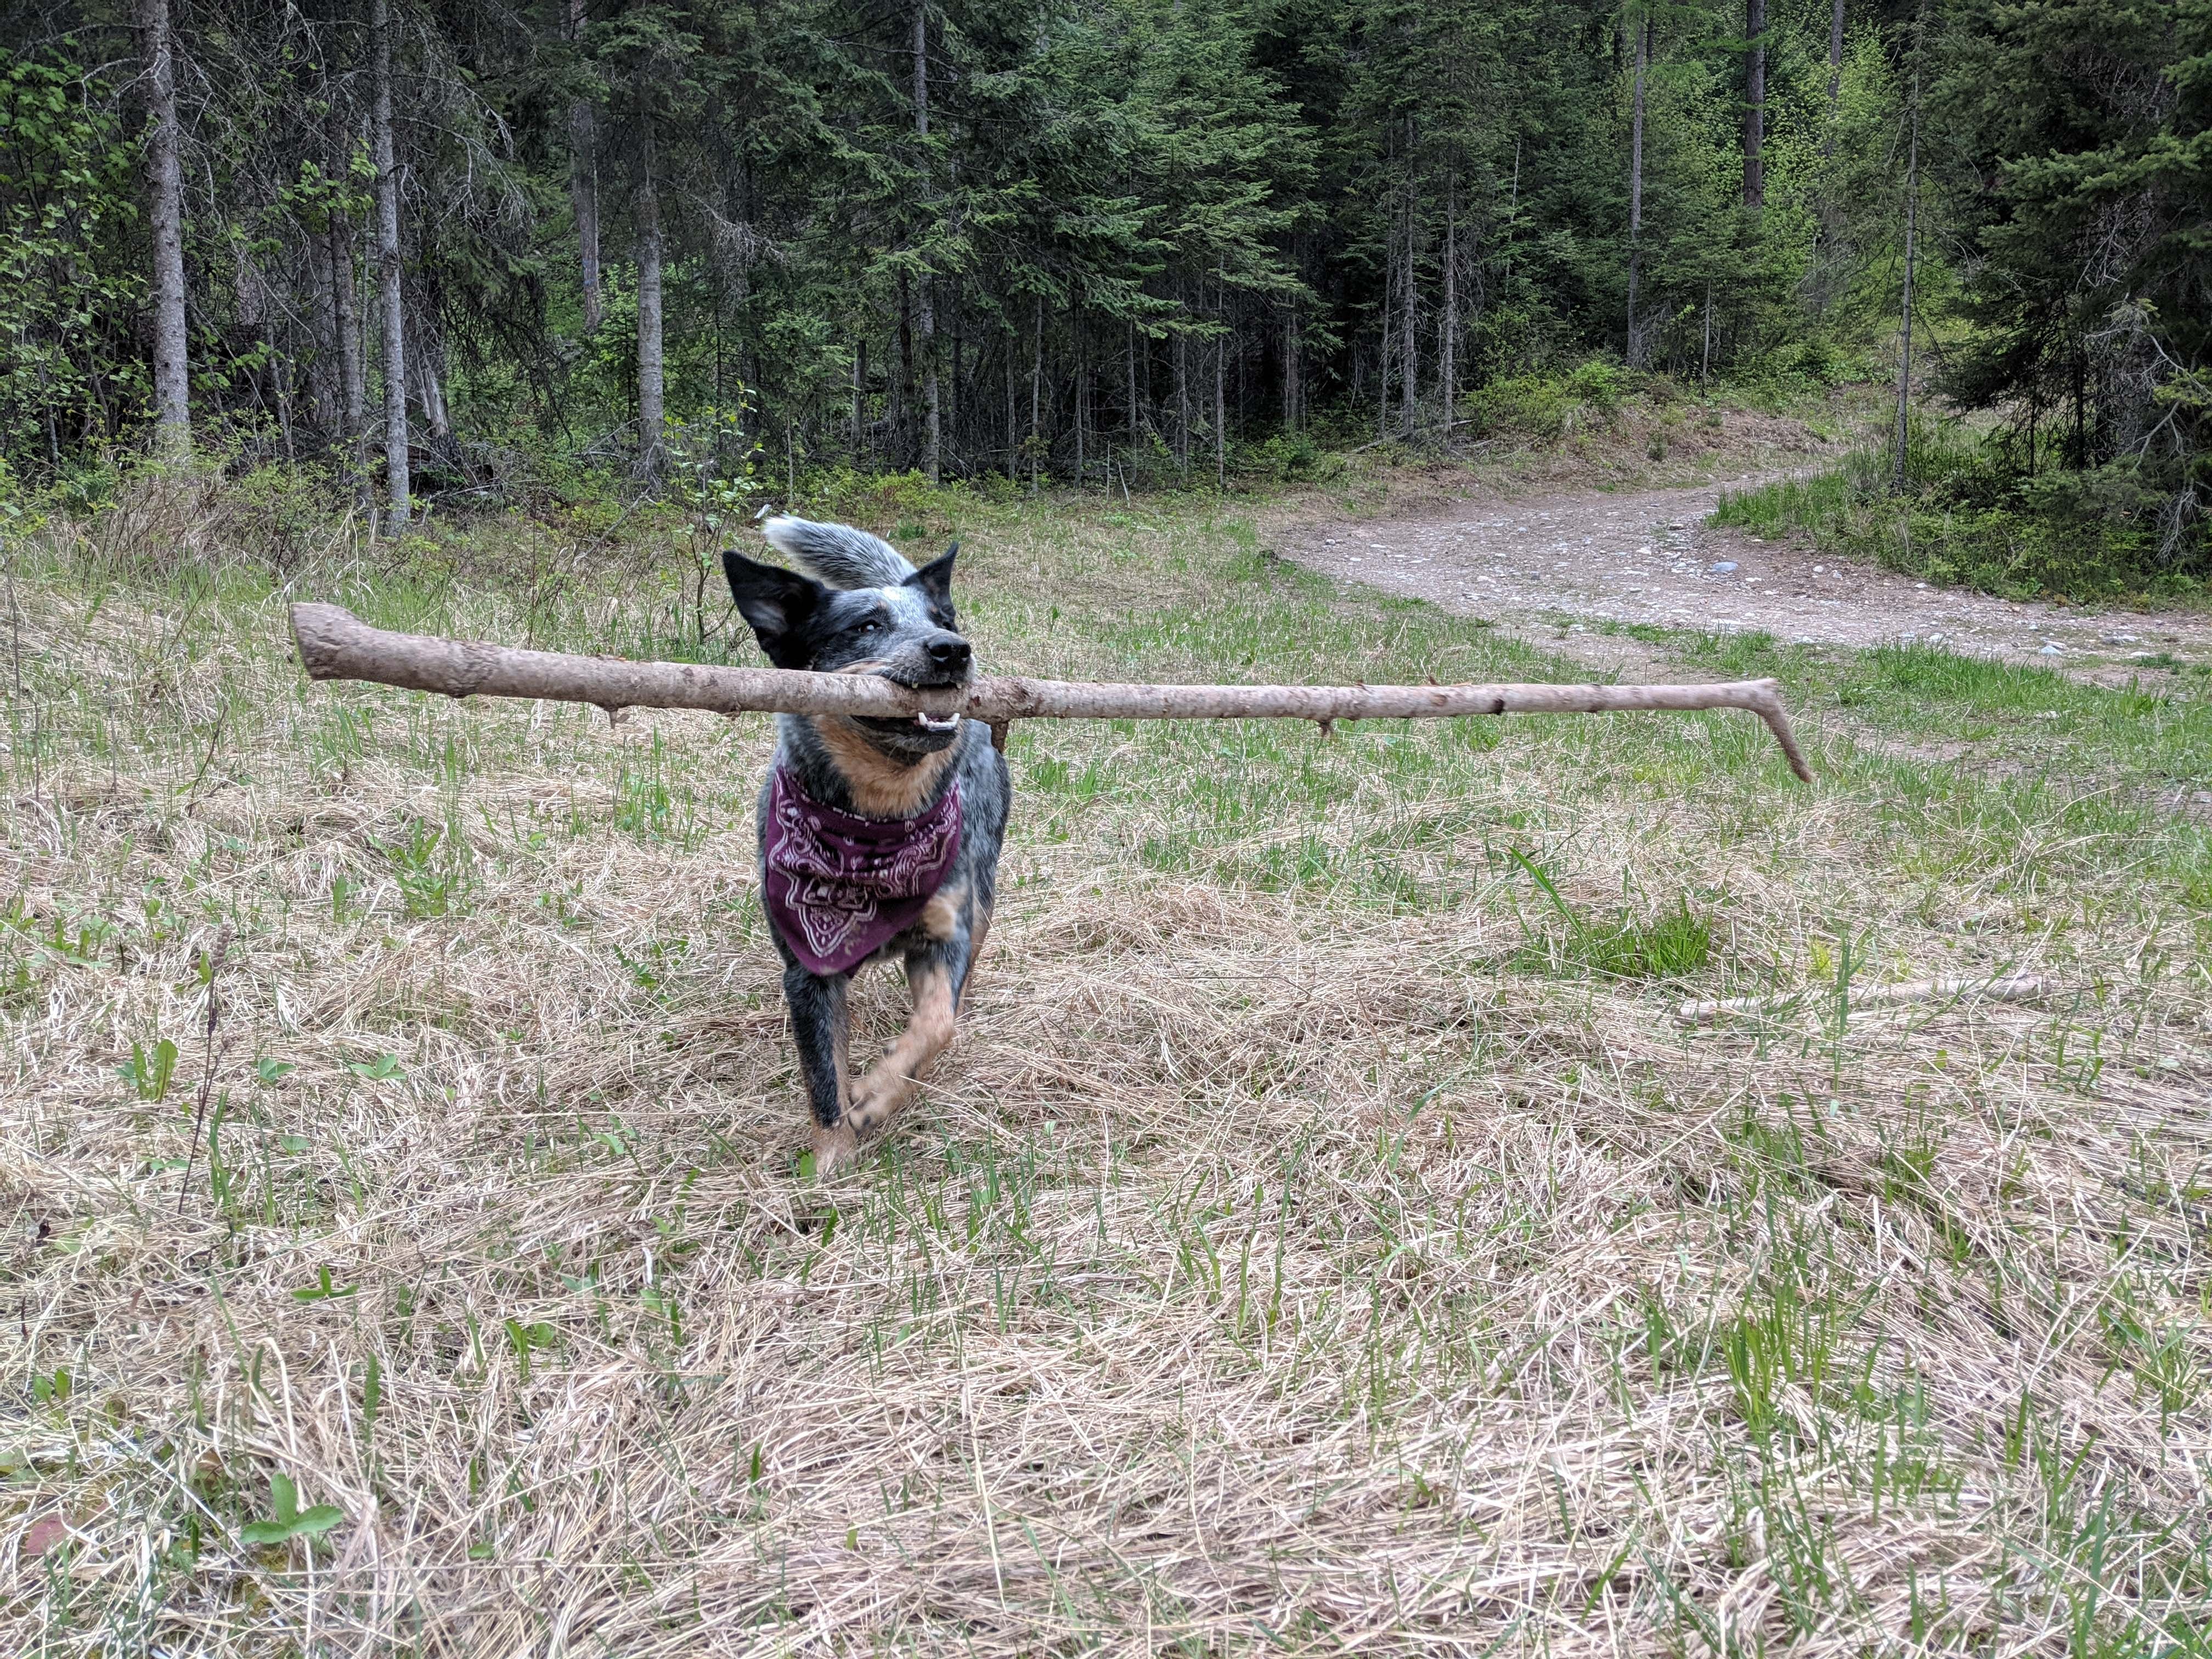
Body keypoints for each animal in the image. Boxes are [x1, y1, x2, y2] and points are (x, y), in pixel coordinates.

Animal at [725, 513, 1013, 1177]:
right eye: (867, 626)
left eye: (940, 619)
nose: (952, 649)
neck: (874, 821)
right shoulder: (807, 973)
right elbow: (823, 1080)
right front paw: (830, 1167)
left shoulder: (943, 934)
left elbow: (936, 1025)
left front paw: (879, 1094)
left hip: (983, 889)